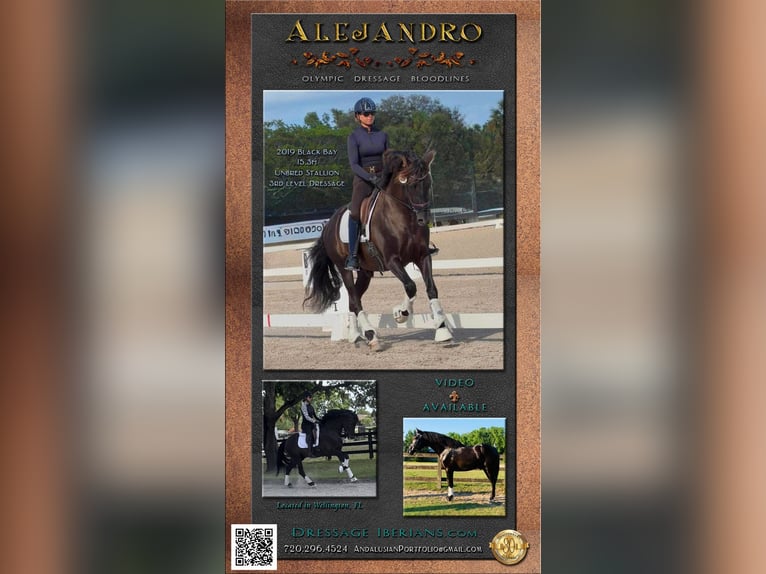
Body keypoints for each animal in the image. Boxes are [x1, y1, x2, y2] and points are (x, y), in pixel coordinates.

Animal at [303, 149, 452, 348]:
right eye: (412, 185)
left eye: (428, 184)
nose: (423, 219)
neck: (403, 219)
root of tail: (328, 225)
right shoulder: (392, 260)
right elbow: (411, 286)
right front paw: (400, 313)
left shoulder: (422, 257)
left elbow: (431, 289)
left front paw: (442, 331)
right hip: (344, 268)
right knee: (354, 299)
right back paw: (371, 335)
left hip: (365, 273)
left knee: (353, 300)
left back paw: (355, 335)